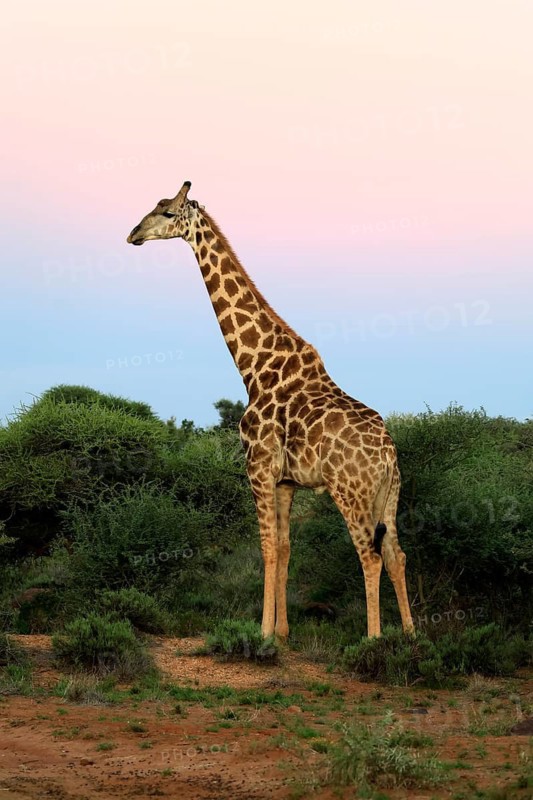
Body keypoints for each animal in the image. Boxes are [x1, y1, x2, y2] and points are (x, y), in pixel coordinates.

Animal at [127, 181, 414, 640]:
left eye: (168, 212)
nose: (133, 233)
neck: (253, 366)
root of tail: (387, 454)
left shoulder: (258, 467)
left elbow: (265, 547)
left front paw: (261, 633)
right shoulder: (285, 480)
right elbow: (284, 547)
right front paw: (282, 631)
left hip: (350, 491)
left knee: (369, 555)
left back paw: (374, 639)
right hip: (389, 494)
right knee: (395, 553)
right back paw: (410, 635)